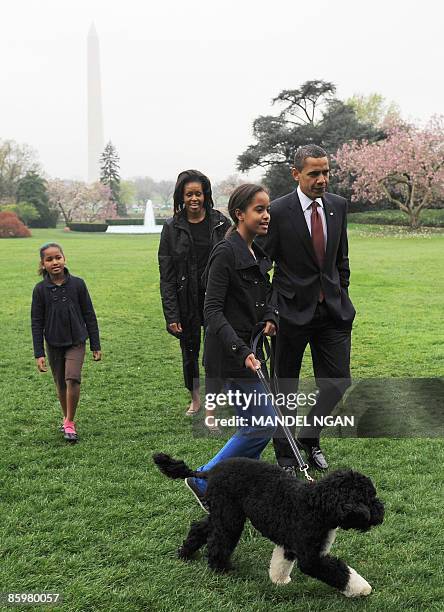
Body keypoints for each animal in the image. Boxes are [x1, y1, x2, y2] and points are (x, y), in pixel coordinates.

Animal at [153, 454, 386, 596]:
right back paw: (221, 568)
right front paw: (361, 588)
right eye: (369, 498)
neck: (316, 506)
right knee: (219, 540)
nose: (381, 512)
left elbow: (281, 561)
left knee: (200, 528)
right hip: (230, 516)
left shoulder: (290, 544)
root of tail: (210, 472)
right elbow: (340, 572)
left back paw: (185, 552)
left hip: (223, 512)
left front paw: (279, 580)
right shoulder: (310, 557)